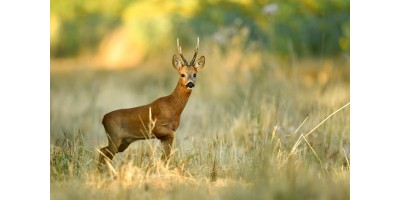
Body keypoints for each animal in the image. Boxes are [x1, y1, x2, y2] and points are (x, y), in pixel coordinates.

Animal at [97, 37, 206, 167]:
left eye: (195, 74)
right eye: (182, 74)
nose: (190, 84)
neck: (172, 107)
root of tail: (103, 119)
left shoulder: (165, 136)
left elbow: (166, 156)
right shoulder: (157, 128)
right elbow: (167, 150)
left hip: (122, 142)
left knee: (102, 151)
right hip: (114, 137)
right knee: (104, 153)